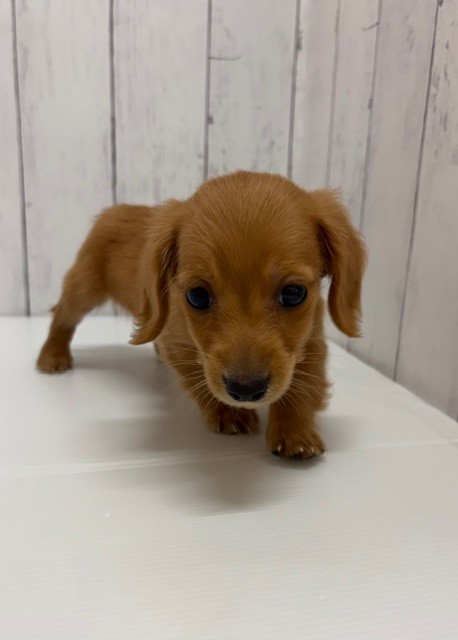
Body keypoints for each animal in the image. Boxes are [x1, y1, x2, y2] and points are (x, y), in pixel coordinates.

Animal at [37, 171, 366, 458]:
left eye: (294, 293)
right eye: (197, 296)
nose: (246, 390)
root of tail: (117, 208)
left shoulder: (310, 340)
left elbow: (302, 387)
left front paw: (295, 433)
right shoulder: (180, 343)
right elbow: (201, 380)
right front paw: (227, 413)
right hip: (84, 286)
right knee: (62, 315)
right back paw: (53, 356)